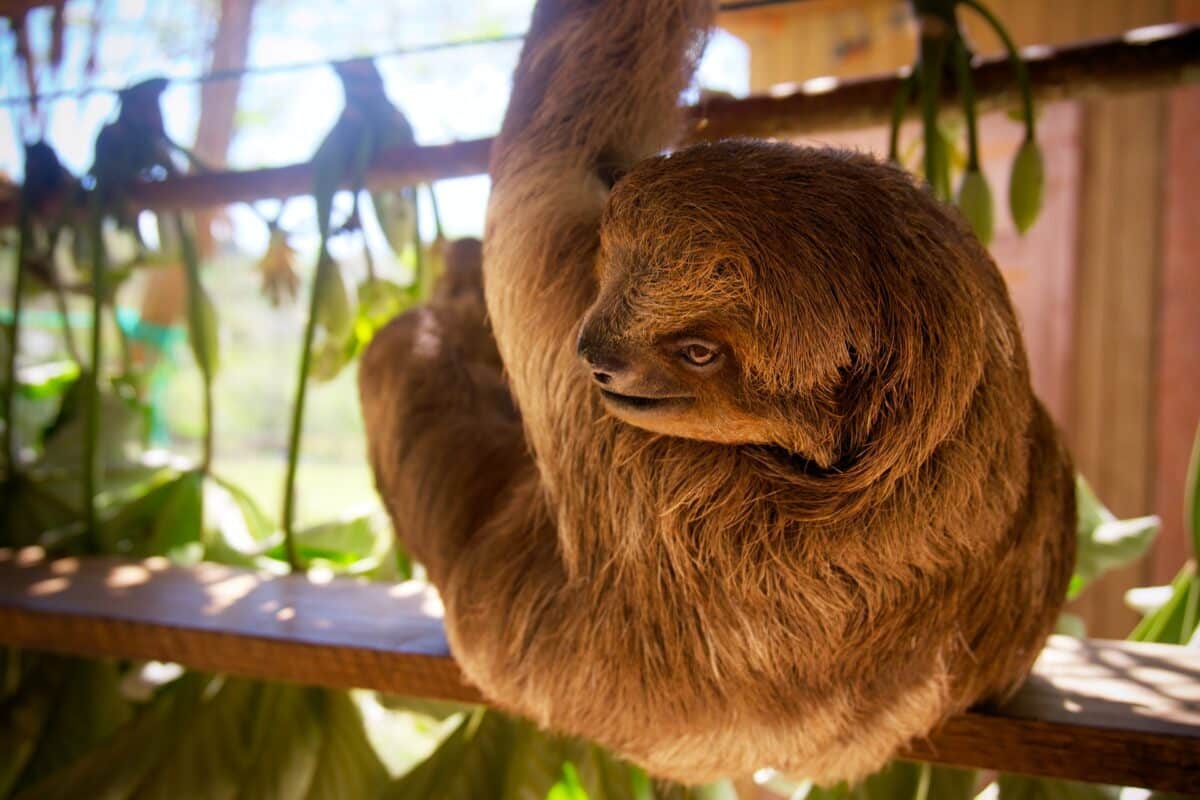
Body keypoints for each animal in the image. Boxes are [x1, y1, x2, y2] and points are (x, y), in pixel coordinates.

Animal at [359, 0, 1075, 785]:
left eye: (698, 352)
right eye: (614, 284)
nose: (596, 355)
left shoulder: (647, 467)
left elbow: (552, 155)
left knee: (402, 361)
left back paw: (449, 289)